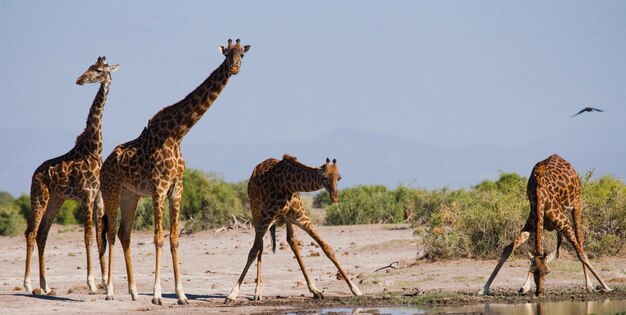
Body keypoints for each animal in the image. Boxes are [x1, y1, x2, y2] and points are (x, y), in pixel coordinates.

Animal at [23, 56, 119, 296]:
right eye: (90, 67)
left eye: (98, 70)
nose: (79, 79)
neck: (94, 149)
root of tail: (34, 174)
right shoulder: (86, 196)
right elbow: (87, 237)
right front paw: (92, 283)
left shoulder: (98, 199)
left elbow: (99, 237)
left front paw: (105, 282)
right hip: (39, 197)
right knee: (31, 232)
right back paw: (28, 283)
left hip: (56, 200)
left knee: (43, 234)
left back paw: (46, 285)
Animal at [100, 37, 249, 306]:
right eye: (226, 55)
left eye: (242, 54)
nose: (234, 68)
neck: (178, 134)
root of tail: (105, 163)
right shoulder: (159, 187)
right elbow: (158, 238)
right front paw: (158, 295)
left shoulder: (176, 188)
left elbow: (175, 238)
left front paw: (181, 295)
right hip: (111, 191)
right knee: (111, 232)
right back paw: (110, 291)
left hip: (130, 195)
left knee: (125, 233)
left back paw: (134, 291)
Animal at [224, 154, 364, 304]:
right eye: (324, 177)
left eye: (339, 178)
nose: (335, 197)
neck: (289, 186)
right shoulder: (265, 218)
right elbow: (252, 252)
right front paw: (232, 294)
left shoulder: (302, 218)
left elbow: (327, 248)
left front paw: (355, 289)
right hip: (255, 211)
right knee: (260, 247)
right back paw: (258, 292)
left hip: (287, 221)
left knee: (292, 243)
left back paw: (315, 290)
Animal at [482, 154, 608, 298]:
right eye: (533, 271)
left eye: (548, 272)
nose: (540, 293)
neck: (539, 196)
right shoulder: (531, 225)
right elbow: (509, 249)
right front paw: (485, 288)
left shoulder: (564, 223)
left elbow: (581, 254)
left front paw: (606, 287)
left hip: (577, 202)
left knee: (580, 242)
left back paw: (589, 285)